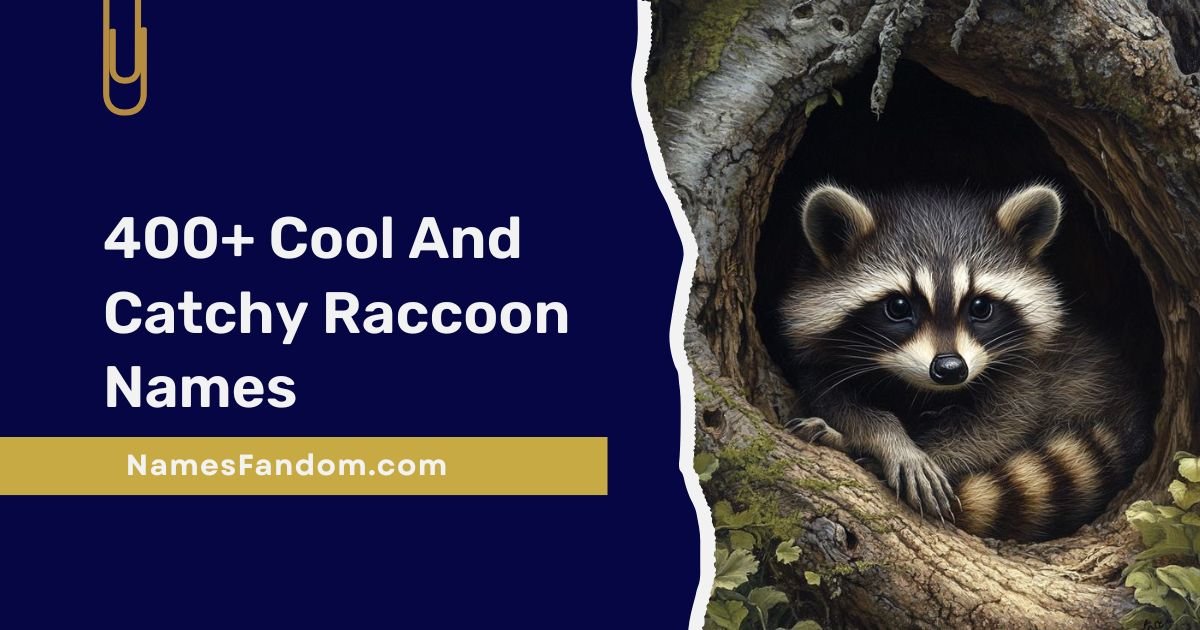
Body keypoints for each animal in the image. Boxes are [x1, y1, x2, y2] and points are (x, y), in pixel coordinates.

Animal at [781, 183, 1153, 541]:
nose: (950, 370)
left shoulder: (1030, 369)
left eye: (980, 307)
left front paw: (928, 454)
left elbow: (998, 425)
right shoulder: (820, 362)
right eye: (898, 307)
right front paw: (890, 442)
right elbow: (839, 403)